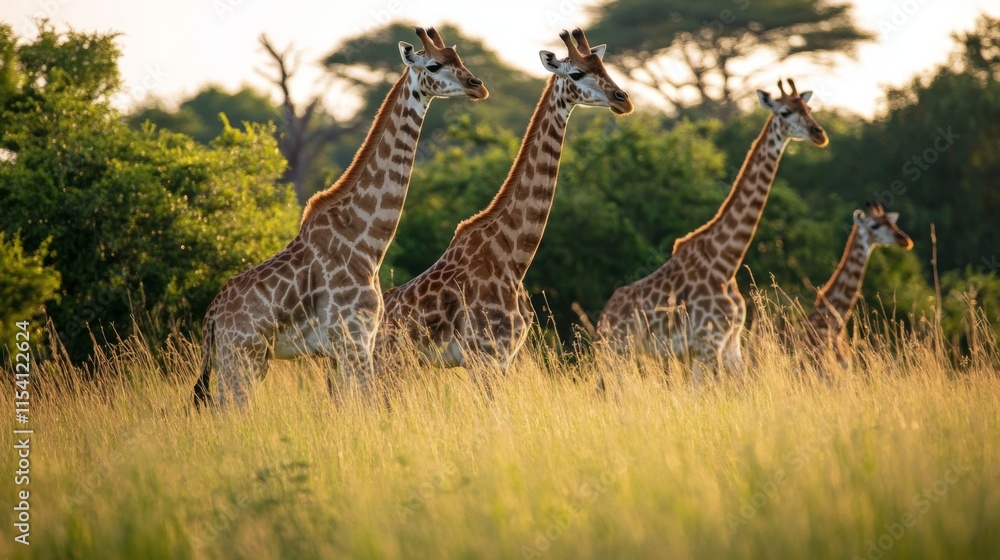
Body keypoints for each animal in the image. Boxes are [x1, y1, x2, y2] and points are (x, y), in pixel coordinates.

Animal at [193, 27, 488, 409]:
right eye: (435, 65)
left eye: (459, 58)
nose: (477, 85)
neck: (366, 236)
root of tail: (211, 319)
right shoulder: (354, 338)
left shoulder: (350, 346)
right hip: (244, 358)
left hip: (241, 361)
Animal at [377, 28, 632, 379]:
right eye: (577, 74)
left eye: (604, 68)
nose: (624, 100)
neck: (513, 255)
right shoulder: (484, 354)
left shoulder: (505, 356)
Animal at [596, 79, 827, 384]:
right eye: (785, 112)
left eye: (808, 109)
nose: (819, 134)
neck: (726, 259)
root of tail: (602, 322)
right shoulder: (709, 342)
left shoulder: (731, 342)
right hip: (618, 354)